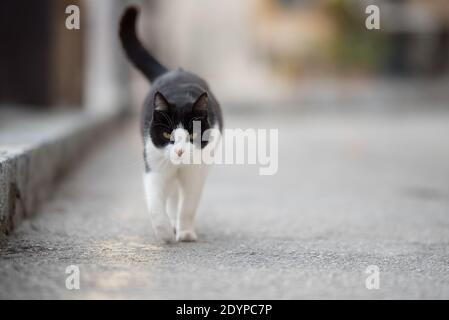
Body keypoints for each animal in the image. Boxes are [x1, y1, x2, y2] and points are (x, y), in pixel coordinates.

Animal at [119, 6, 222, 242]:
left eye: (192, 135)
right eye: (167, 135)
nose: (180, 151)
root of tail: (173, 71)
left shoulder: (196, 173)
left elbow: (189, 206)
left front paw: (185, 232)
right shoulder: (154, 168)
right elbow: (155, 205)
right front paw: (165, 232)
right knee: (172, 195)